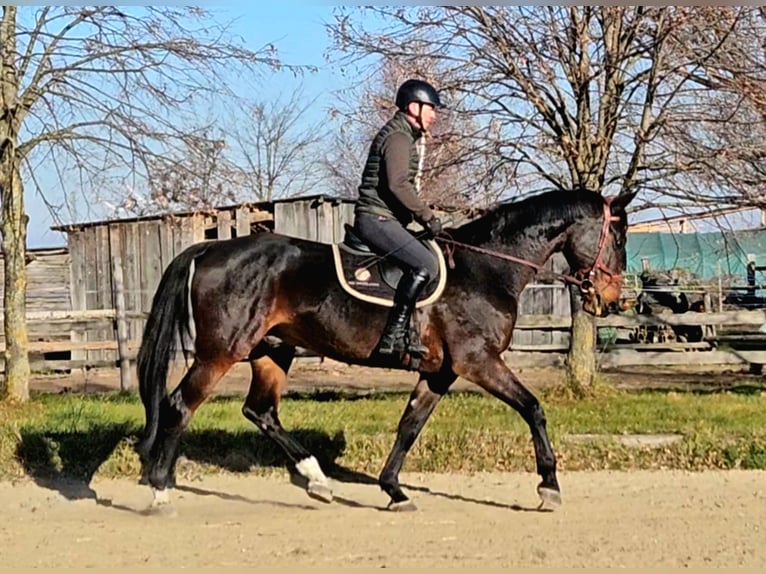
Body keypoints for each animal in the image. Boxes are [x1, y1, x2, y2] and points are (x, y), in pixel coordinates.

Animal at [136, 189, 636, 512]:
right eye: (619, 238)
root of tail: (210, 248)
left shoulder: (441, 372)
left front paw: (393, 489)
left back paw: (317, 481)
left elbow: (409, 426)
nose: (611, 300)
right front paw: (549, 486)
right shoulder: (479, 362)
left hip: (271, 352)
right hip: (221, 352)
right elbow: (533, 408)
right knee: (180, 404)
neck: (485, 268)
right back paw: (160, 489)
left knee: (260, 411)